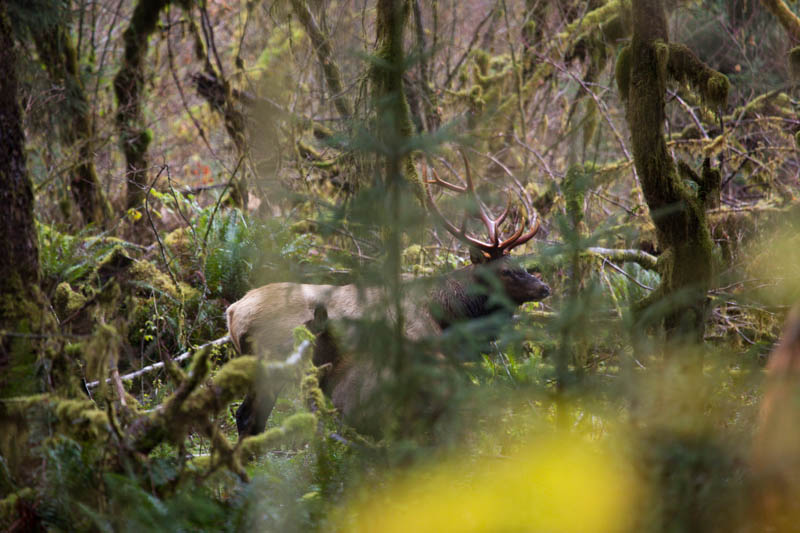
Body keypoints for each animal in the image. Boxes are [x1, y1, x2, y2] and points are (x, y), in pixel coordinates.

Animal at [227, 151, 552, 436]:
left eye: (520, 263)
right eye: (506, 270)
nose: (544, 287)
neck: (449, 315)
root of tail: (232, 312)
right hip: (272, 363)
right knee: (249, 417)